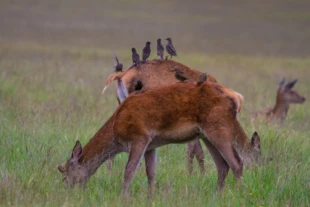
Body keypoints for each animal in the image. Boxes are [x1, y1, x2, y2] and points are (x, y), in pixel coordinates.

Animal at [57, 77, 260, 196]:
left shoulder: (139, 137)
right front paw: (150, 196)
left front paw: (123, 197)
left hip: (219, 127)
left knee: (236, 162)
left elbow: (129, 171)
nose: (67, 191)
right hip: (206, 135)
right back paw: (216, 195)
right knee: (222, 165)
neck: (116, 129)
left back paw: (237, 194)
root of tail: (237, 97)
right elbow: (151, 173)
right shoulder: (151, 145)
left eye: (65, 172)